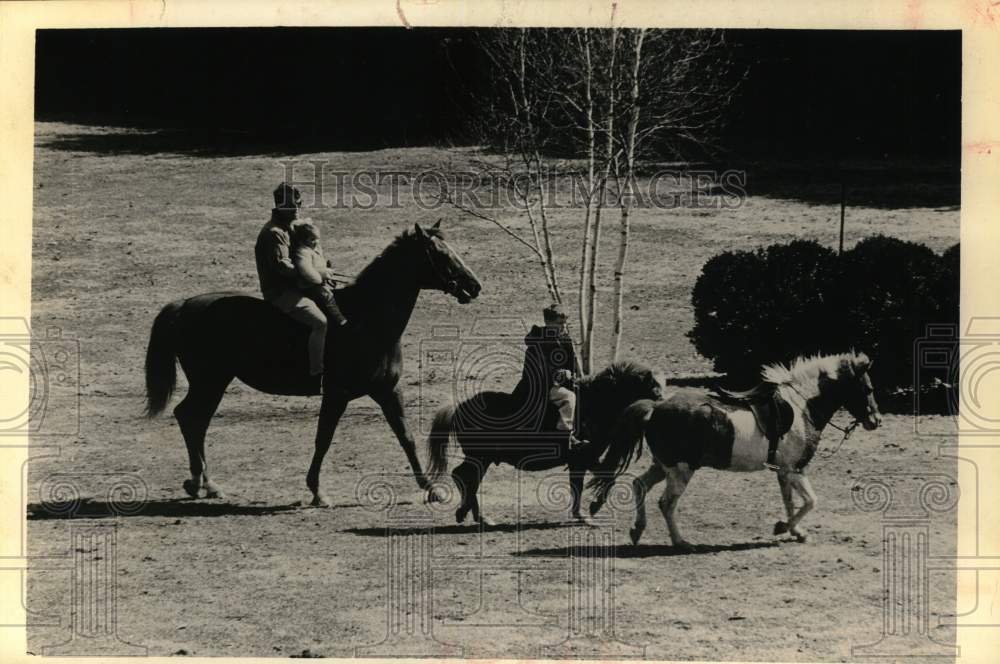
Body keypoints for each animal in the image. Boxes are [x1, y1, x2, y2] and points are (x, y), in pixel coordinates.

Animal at [144, 221, 482, 506]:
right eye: (440, 254)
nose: (475, 285)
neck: (364, 320)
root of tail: (184, 305)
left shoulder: (388, 390)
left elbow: (406, 437)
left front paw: (431, 488)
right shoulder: (336, 394)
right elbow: (324, 439)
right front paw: (318, 491)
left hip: (212, 383)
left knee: (194, 420)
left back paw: (204, 483)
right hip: (211, 382)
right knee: (191, 419)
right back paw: (201, 482)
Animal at [425, 360, 663, 525]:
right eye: (652, 388)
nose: (661, 404)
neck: (592, 403)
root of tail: (458, 408)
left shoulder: (583, 460)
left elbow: (585, 483)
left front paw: (582, 513)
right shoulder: (583, 457)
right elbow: (599, 480)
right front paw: (591, 510)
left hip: (482, 459)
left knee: (465, 477)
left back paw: (473, 514)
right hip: (481, 457)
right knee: (464, 476)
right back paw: (473, 514)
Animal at [588, 352, 882, 549]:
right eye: (867, 388)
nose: (875, 420)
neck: (802, 407)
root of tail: (655, 407)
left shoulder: (784, 472)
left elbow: (790, 502)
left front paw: (795, 531)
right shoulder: (795, 470)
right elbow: (810, 501)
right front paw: (784, 528)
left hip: (663, 466)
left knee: (639, 485)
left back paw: (638, 529)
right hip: (681, 470)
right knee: (666, 503)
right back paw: (681, 542)